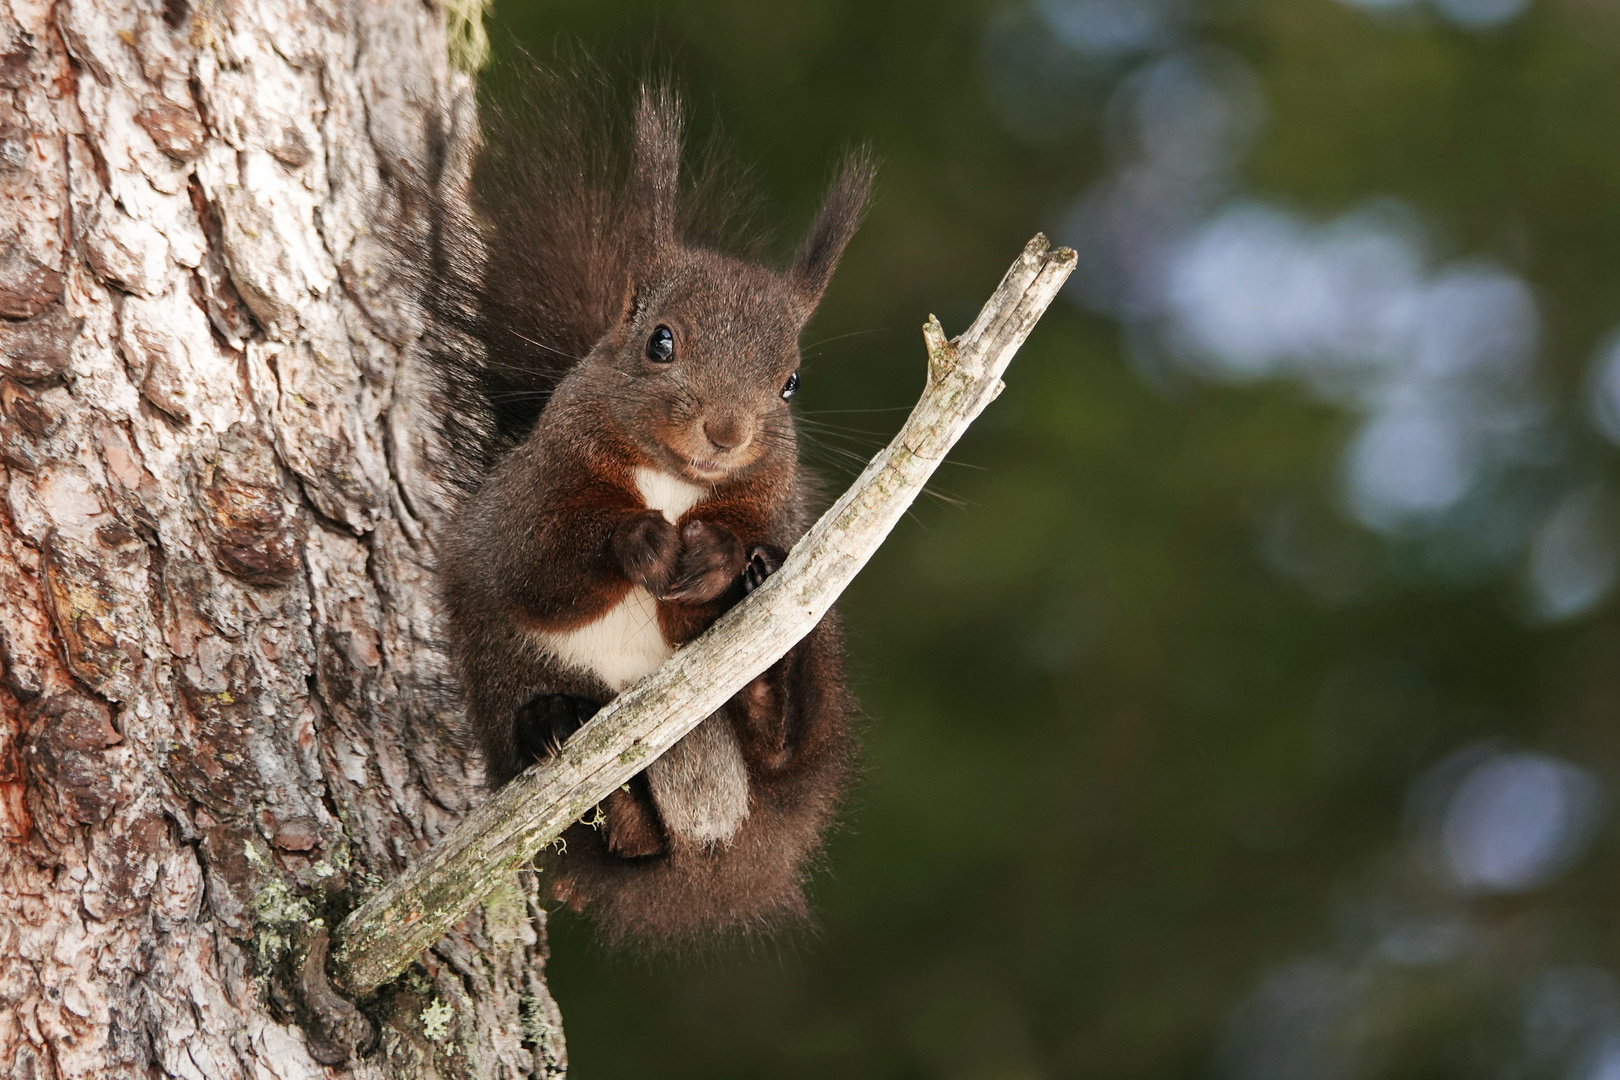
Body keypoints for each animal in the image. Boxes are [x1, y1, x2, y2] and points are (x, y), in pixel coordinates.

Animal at [417, 69, 874, 945]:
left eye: (790, 383)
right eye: (660, 341)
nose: (726, 433)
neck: (674, 483)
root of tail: (722, 854)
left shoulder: (775, 512)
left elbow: (733, 548)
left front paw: (717, 558)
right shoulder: (526, 501)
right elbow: (538, 567)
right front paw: (641, 541)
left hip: (817, 672)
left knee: (786, 747)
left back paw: (765, 690)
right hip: (502, 672)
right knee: (623, 839)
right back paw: (575, 749)